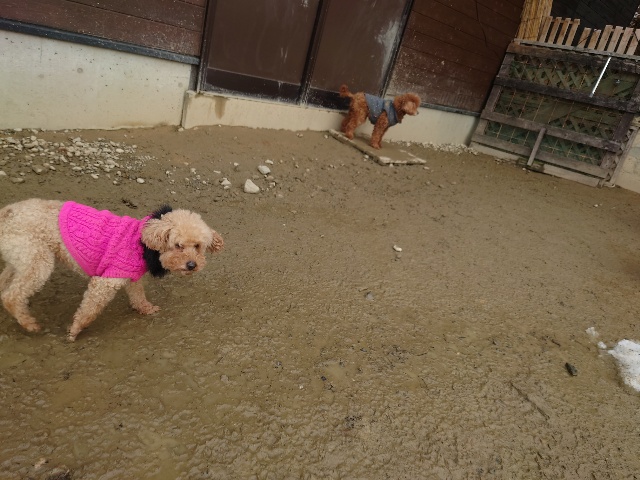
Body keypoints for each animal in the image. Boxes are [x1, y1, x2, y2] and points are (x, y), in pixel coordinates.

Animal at [0, 199, 224, 341]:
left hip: (20, 258)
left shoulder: (131, 276)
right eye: (178, 245)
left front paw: (145, 309)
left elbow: (138, 295)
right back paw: (29, 323)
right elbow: (89, 310)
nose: (192, 265)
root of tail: (6, 213)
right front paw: (75, 330)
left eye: (198, 246)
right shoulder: (105, 282)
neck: (143, 243)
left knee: (4, 284)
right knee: (11, 296)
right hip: (38, 260)